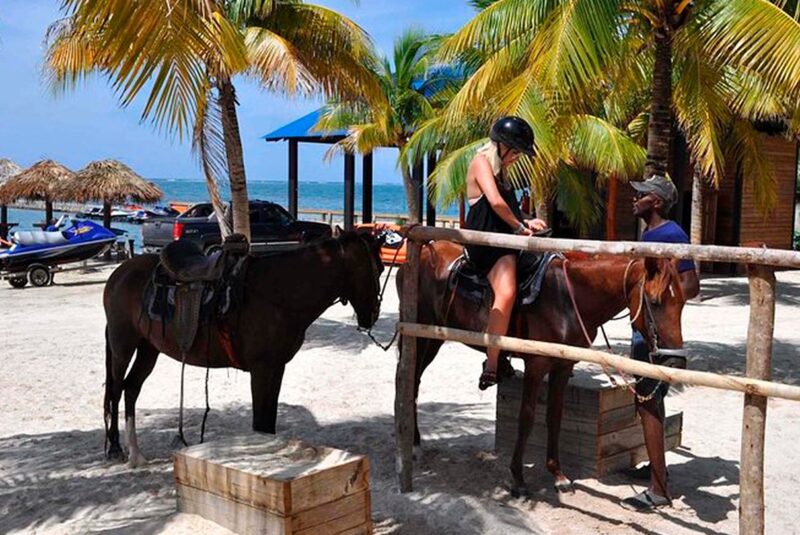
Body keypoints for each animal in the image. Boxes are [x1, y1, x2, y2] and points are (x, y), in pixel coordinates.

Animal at [104, 232, 384, 466]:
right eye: (377, 268)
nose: (372, 314)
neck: (277, 293)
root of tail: (121, 272)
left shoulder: (276, 367)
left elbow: (268, 420)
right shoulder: (261, 369)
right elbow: (260, 422)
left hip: (149, 348)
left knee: (131, 388)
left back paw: (136, 454)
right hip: (123, 344)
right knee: (116, 389)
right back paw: (116, 448)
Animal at [400, 242, 688, 498]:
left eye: (683, 303)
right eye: (655, 301)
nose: (675, 363)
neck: (568, 298)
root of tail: (424, 251)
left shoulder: (562, 366)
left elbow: (554, 416)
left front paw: (558, 475)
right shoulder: (536, 366)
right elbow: (526, 418)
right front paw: (517, 478)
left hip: (433, 338)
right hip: (422, 338)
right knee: (410, 383)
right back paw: (412, 444)